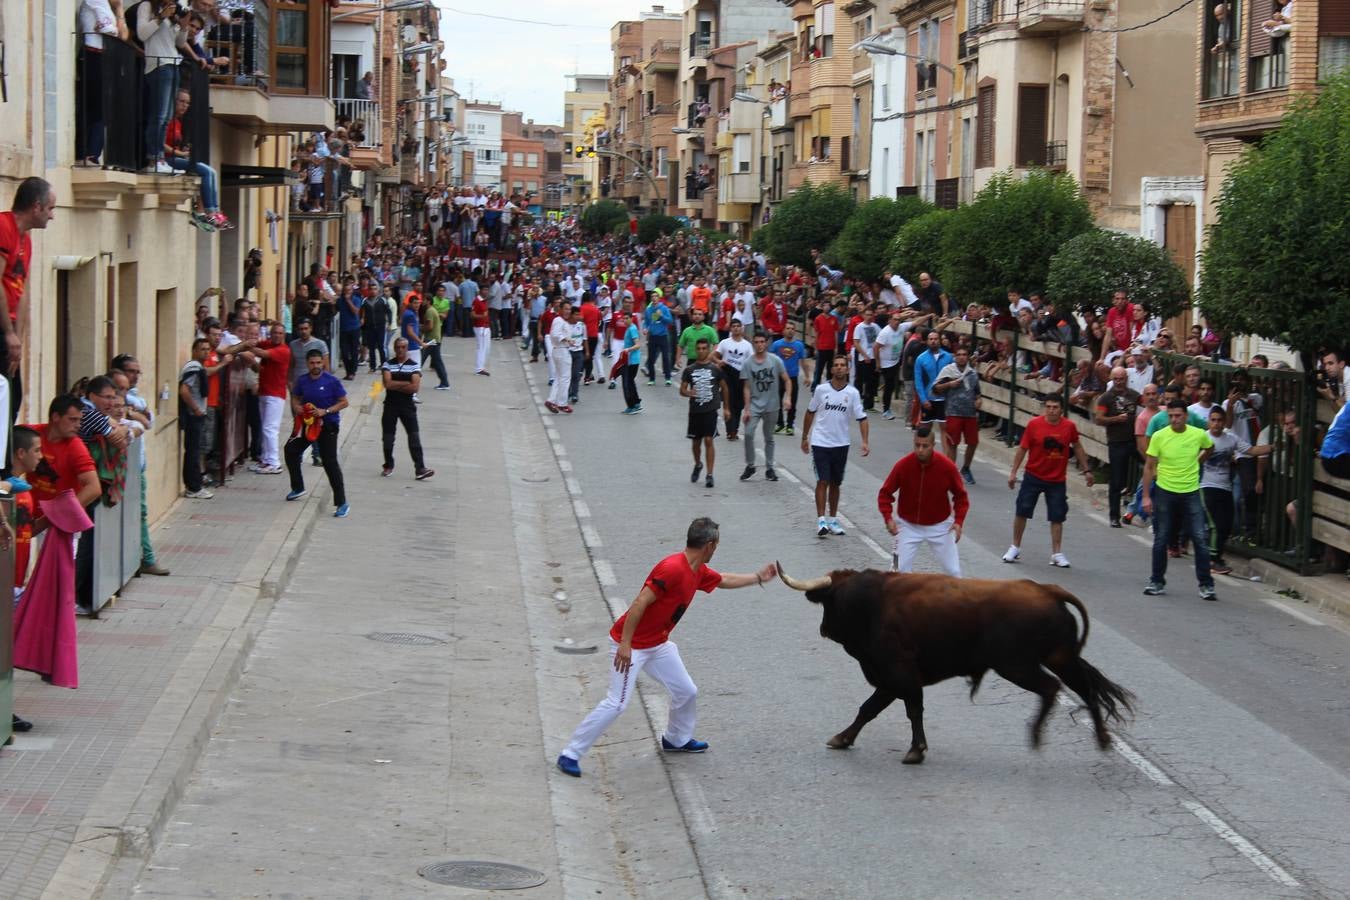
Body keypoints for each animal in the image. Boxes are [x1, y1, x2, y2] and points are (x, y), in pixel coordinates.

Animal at [777, 566, 1134, 766]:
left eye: (829, 601)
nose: (824, 629)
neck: (872, 602)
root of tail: (1046, 590)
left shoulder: (899, 674)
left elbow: (907, 710)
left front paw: (916, 751)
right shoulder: (892, 680)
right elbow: (869, 709)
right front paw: (843, 738)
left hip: (1018, 666)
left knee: (1052, 688)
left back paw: (1036, 735)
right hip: (1059, 659)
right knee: (1086, 689)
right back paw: (1102, 739)